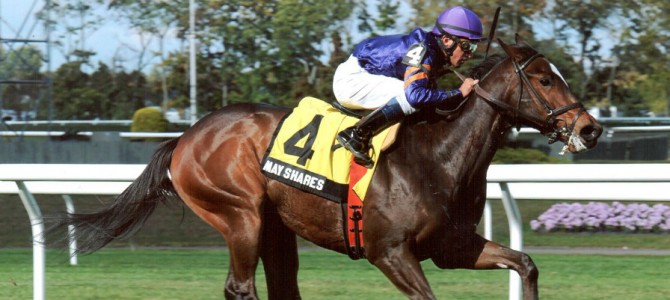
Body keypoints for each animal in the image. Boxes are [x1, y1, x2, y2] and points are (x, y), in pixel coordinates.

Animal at [53, 36, 604, 298]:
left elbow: (525, 264)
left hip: (275, 227)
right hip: (240, 216)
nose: (591, 128)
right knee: (240, 287)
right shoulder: (390, 252)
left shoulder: (452, 247)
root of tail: (186, 137)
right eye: (544, 79)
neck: (440, 155)